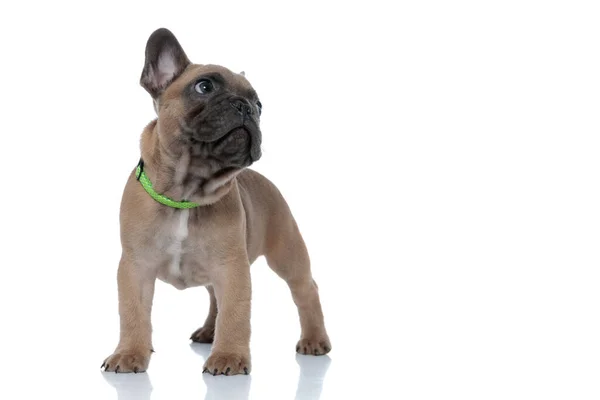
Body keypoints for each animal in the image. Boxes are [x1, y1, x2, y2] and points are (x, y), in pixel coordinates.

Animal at [101, 28, 330, 376]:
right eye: (204, 87)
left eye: (260, 105)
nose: (246, 107)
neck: (187, 193)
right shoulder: (135, 267)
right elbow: (133, 312)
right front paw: (129, 353)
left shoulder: (232, 268)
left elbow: (235, 313)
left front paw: (229, 357)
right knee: (213, 298)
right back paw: (209, 331)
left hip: (287, 253)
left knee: (305, 290)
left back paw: (315, 339)